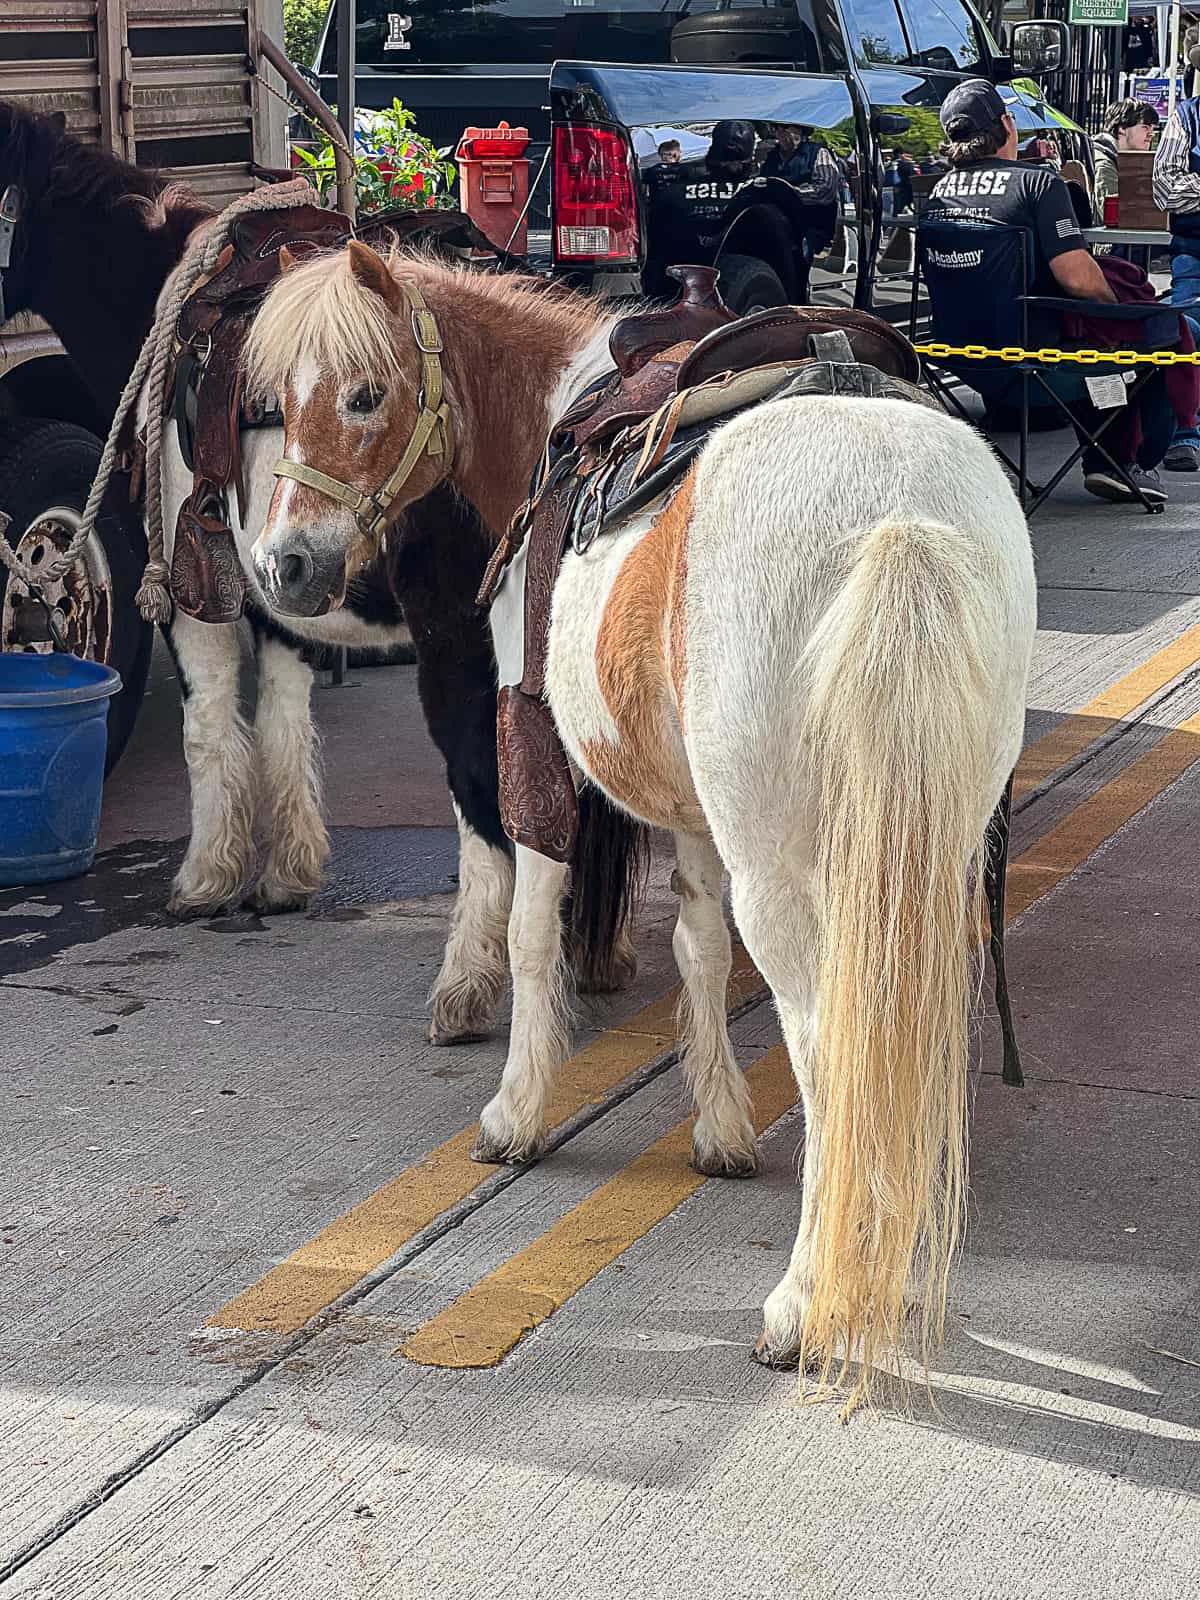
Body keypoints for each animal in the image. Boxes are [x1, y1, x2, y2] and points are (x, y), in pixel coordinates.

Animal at [246, 240, 1043, 1414]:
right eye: (277, 399)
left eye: (362, 394)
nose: (283, 566)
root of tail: (898, 514)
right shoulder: (696, 810)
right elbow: (700, 949)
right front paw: (718, 1126)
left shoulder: (527, 733)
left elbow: (533, 928)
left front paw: (517, 1112)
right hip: (918, 850)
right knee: (898, 1031)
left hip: (790, 872)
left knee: (831, 1046)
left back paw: (803, 1305)